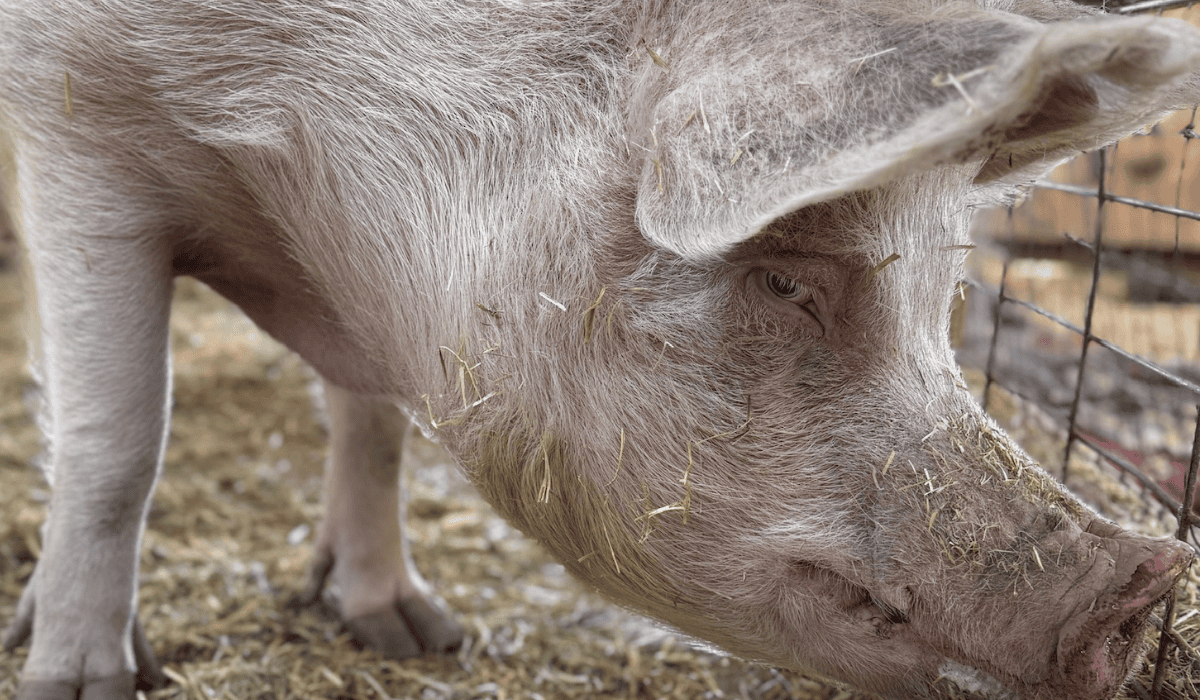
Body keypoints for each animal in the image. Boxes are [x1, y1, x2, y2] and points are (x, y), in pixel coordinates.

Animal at [1, 1, 1199, 698]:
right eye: (784, 279)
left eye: (945, 297)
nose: (1144, 582)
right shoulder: (75, 122)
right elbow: (120, 442)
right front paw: (80, 683)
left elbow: (372, 417)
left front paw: (414, 635)